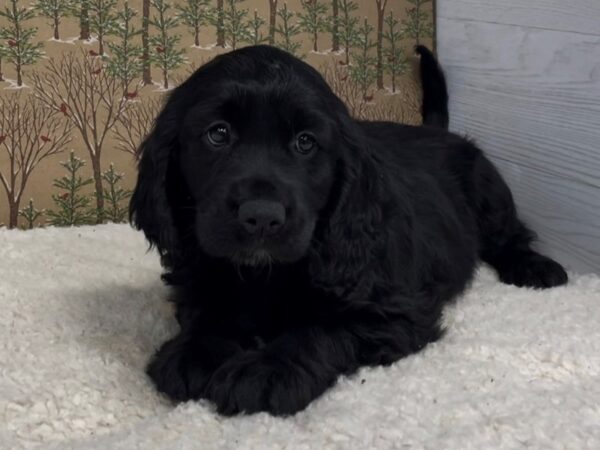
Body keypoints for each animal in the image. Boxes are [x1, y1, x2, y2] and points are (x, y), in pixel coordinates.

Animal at [131, 44, 568, 414]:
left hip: (488, 188)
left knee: (508, 235)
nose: (261, 216)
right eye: (218, 133)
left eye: (305, 142)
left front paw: (266, 371)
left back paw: (535, 268)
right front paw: (194, 353)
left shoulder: (396, 311)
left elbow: (322, 328)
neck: (265, 275)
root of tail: (438, 130)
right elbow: (208, 309)